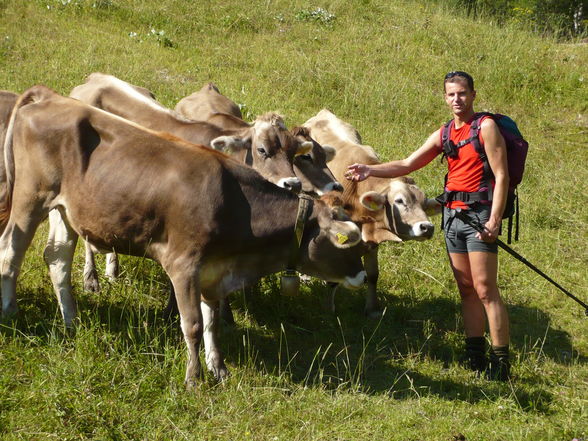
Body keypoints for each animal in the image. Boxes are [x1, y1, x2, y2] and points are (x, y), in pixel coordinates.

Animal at [1, 87, 368, 386]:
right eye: (346, 241)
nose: (363, 276)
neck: (235, 202)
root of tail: (50, 97)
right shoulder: (184, 266)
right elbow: (191, 324)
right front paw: (194, 377)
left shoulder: (213, 271)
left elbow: (211, 323)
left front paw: (218, 368)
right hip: (31, 198)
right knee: (11, 251)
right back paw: (11, 312)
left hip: (64, 209)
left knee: (57, 258)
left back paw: (71, 322)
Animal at [304, 109, 436, 316]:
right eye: (400, 201)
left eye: (424, 205)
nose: (427, 227)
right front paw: (329, 309)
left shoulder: (372, 241)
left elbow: (373, 274)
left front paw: (372, 309)